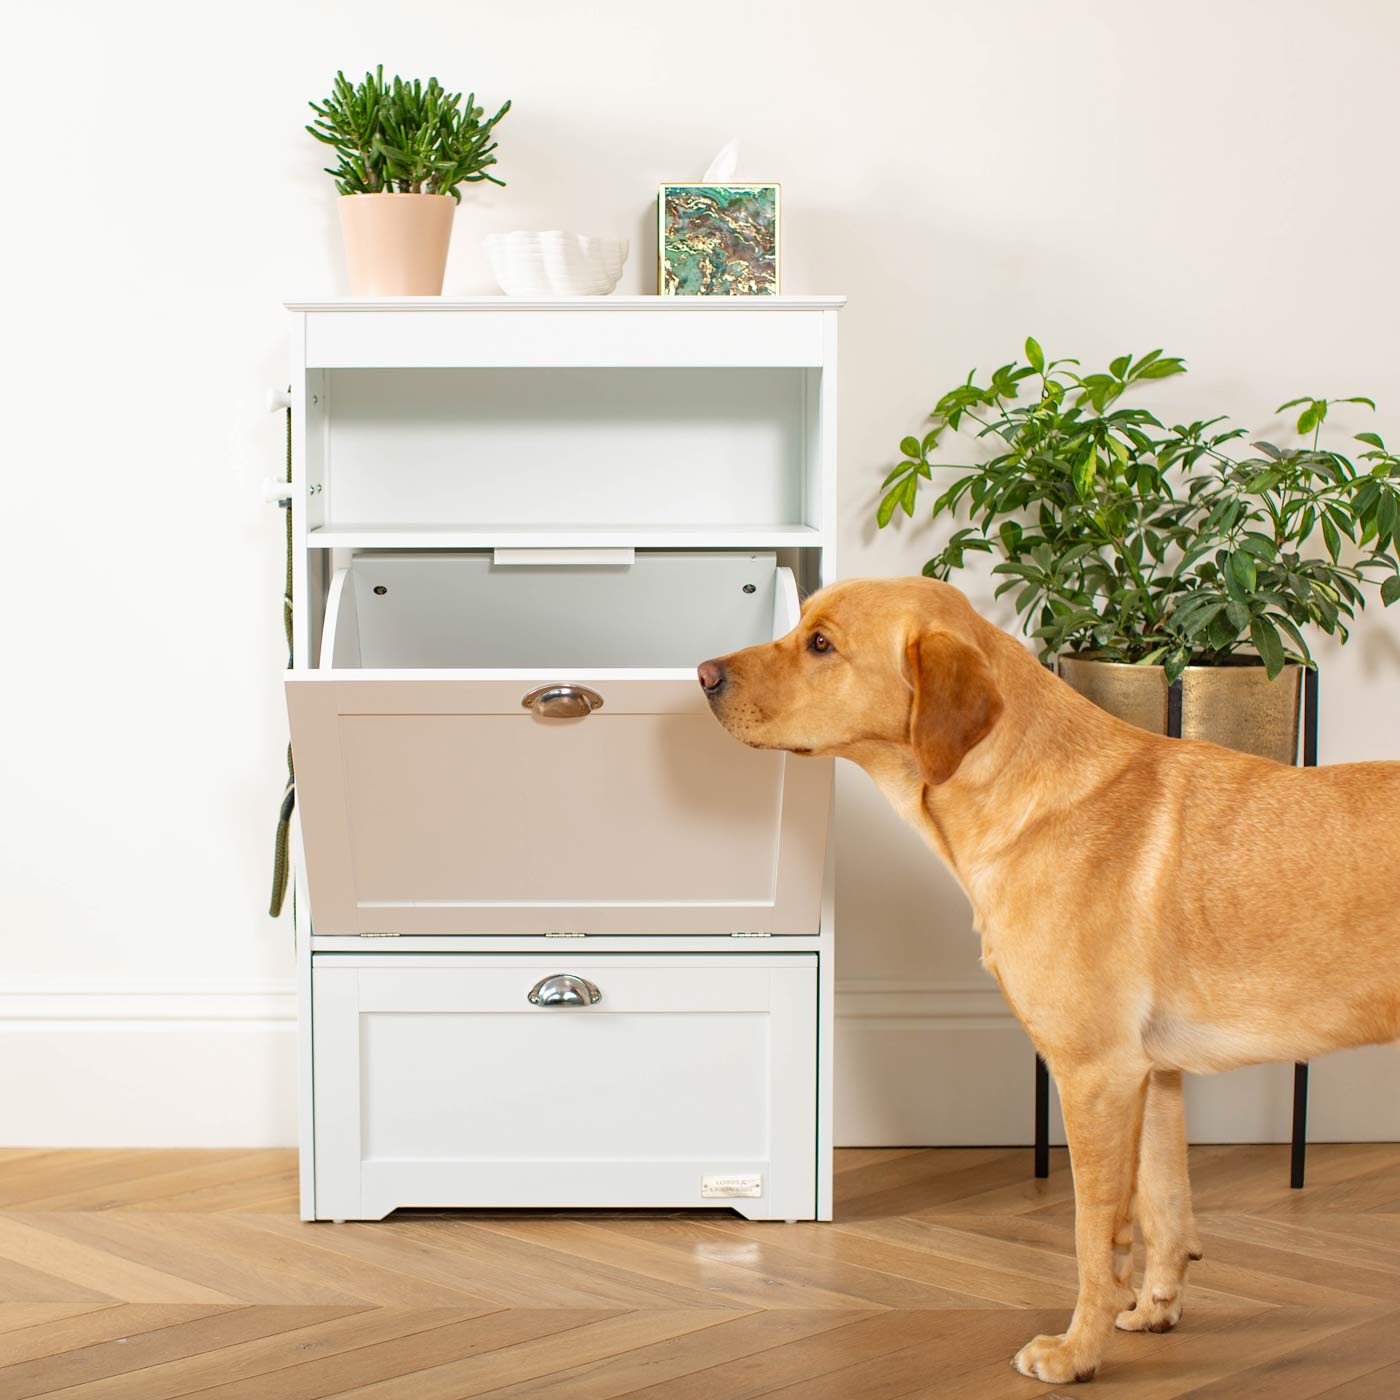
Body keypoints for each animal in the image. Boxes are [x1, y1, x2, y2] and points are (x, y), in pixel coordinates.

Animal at [697, 574, 1400, 1383]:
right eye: (803, 625)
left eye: (820, 644)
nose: (703, 675)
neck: (1013, 785)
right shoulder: (1153, 1075)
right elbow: (1164, 1207)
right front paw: (1154, 1309)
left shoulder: (1094, 1073)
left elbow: (1095, 1233)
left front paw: (1076, 1353)